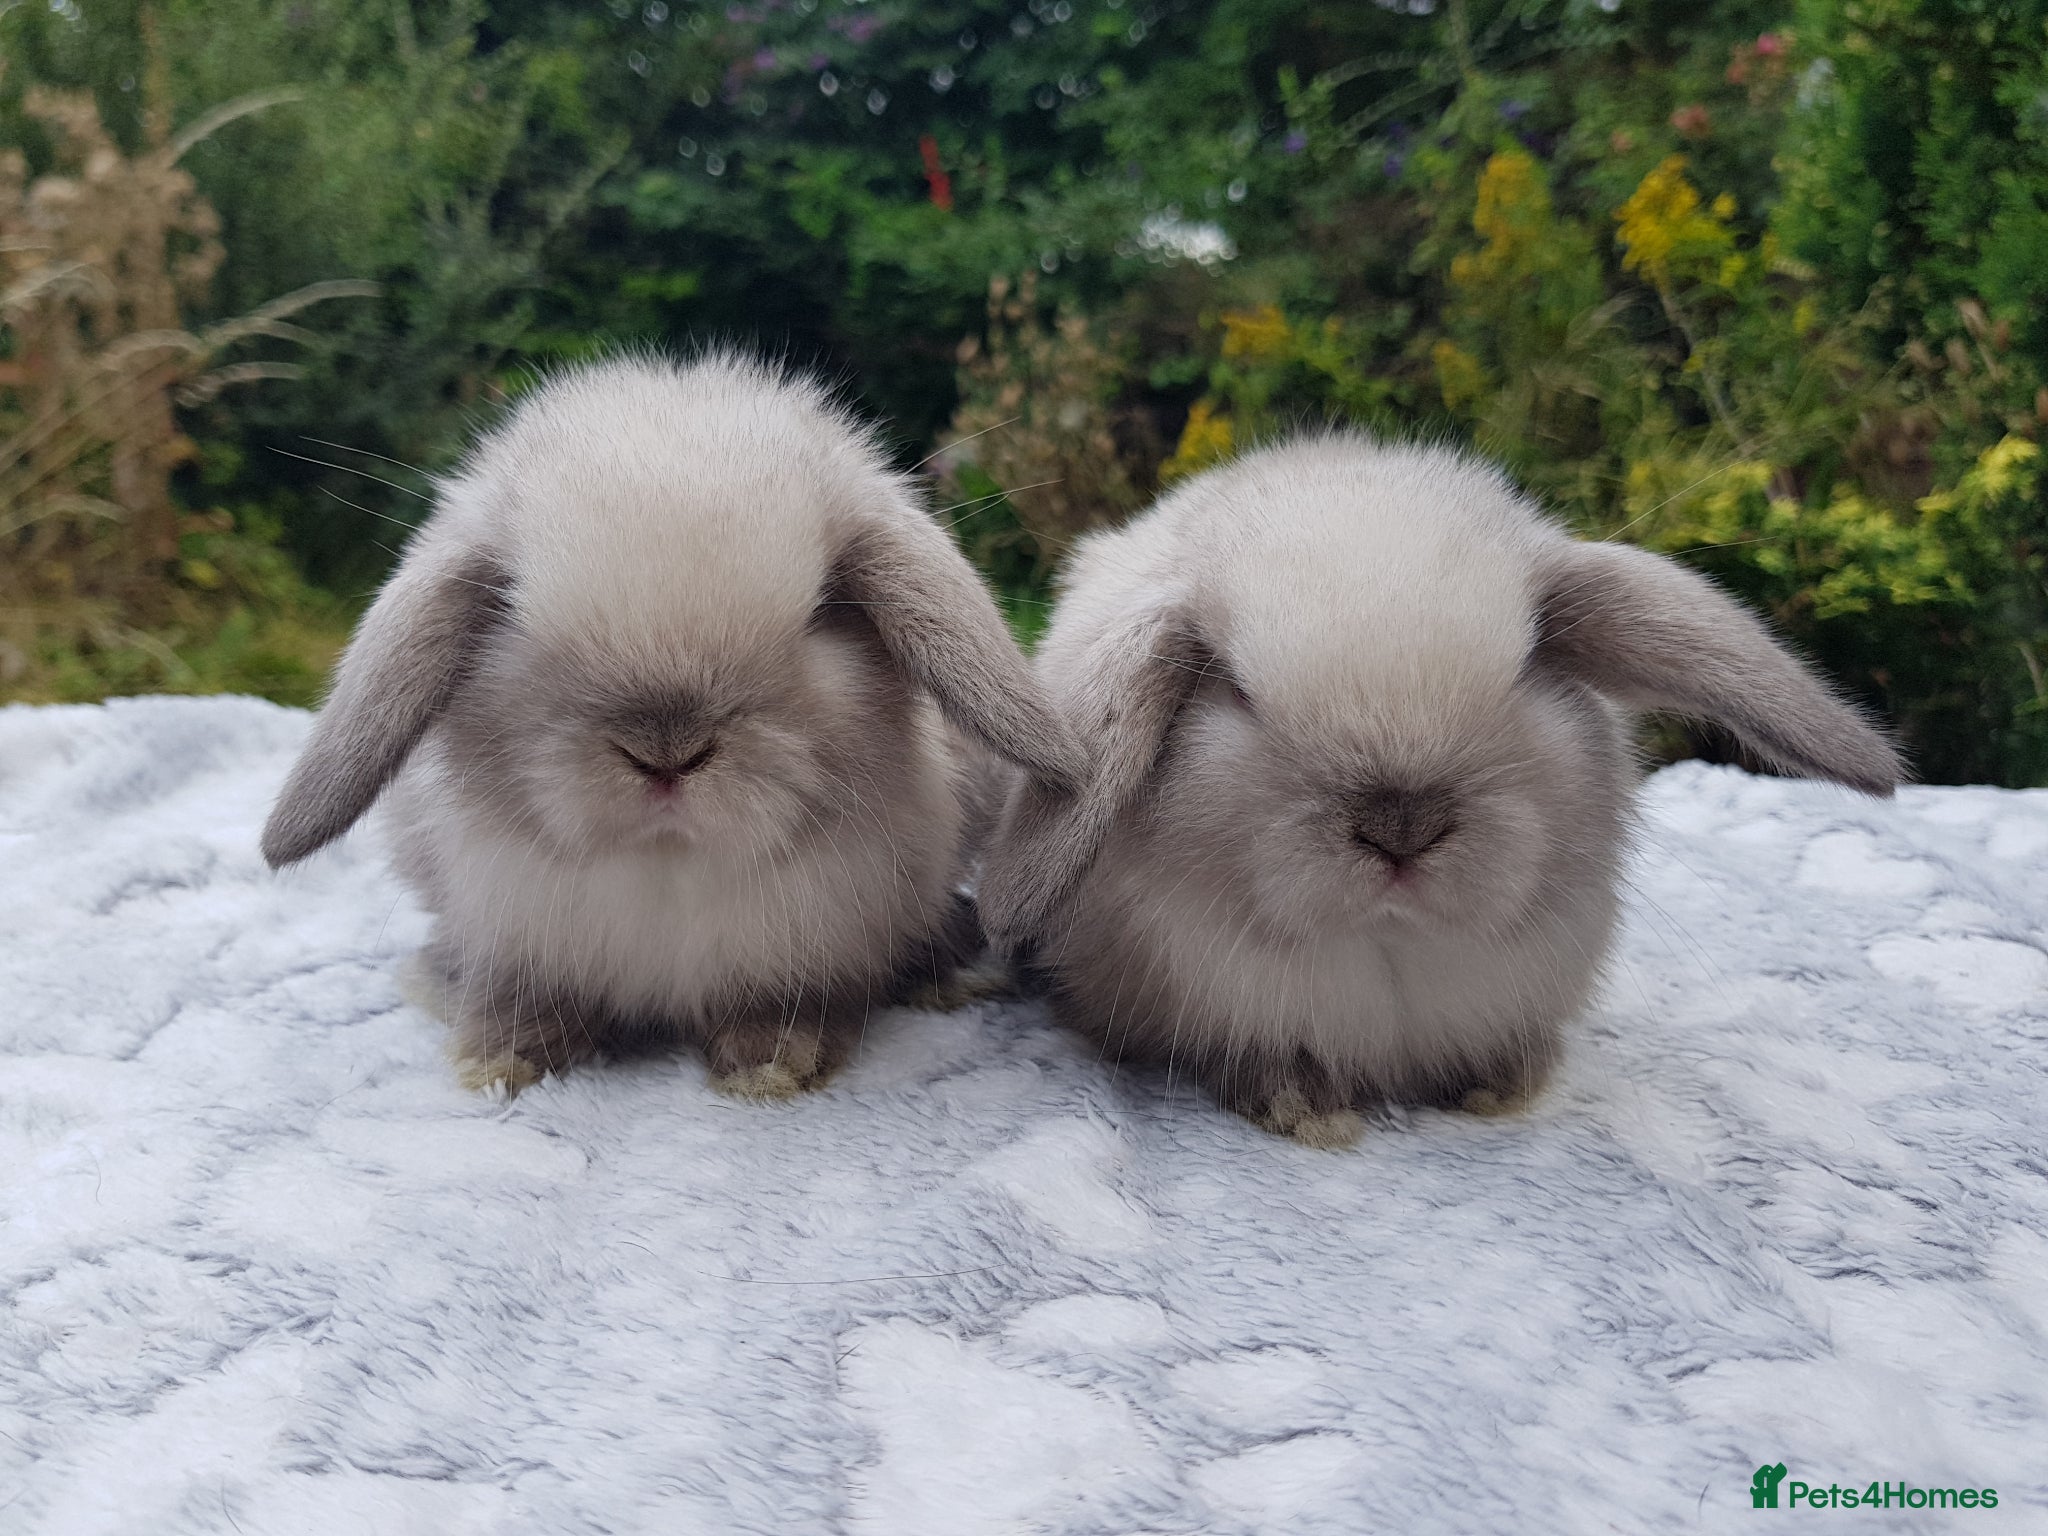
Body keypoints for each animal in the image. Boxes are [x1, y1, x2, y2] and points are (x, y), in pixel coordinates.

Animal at [262, 352, 1082, 1098]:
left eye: (826, 608)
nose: (666, 754)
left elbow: (790, 1005)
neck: (669, 866)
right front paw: (498, 1060)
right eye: (510, 606)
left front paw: (772, 1064)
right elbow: (526, 997)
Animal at [978, 433, 1903, 1148]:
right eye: (1236, 690)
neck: (1392, 947)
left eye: (1528, 663)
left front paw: (1503, 1091)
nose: (1401, 828)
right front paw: (1308, 1113)